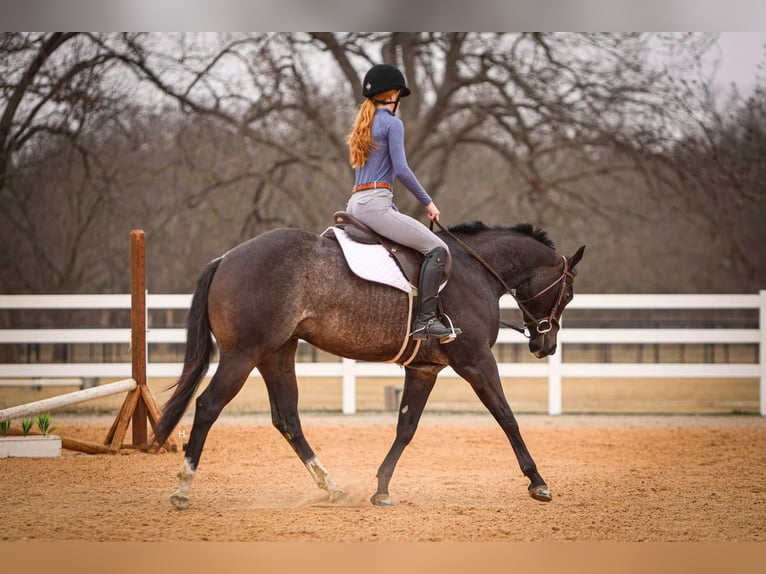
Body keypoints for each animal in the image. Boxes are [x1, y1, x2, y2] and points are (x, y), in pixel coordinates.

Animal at [154, 220, 588, 508]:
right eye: (568, 292)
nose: (545, 345)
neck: (474, 270)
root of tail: (226, 257)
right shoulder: (477, 362)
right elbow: (507, 417)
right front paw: (537, 481)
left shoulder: (424, 369)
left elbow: (406, 427)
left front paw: (381, 488)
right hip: (242, 355)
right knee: (208, 406)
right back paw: (183, 487)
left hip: (276, 354)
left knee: (287, 418)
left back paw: (330, 487)